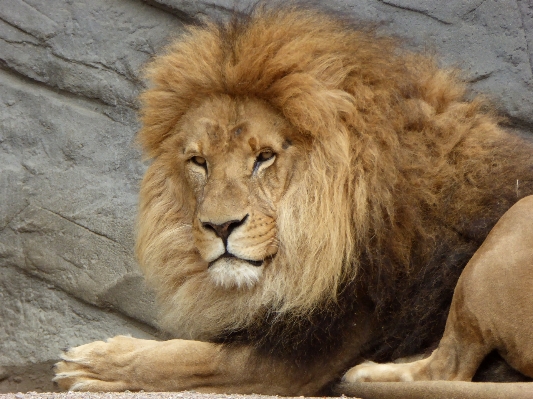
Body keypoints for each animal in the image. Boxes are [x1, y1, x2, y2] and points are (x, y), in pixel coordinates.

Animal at [54, 5, 532, 396]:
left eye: (264, 157)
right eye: (199, 162)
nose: (220, 227)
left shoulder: (310, 353)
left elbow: (187, 357)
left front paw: (92, 363)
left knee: (448, 368)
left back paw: (368, 374)